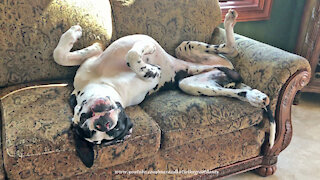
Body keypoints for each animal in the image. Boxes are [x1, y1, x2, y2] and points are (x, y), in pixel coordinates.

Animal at [53, 9, 276, 167]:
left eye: (114, 128)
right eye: (91, 132)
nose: (103, 124)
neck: (104, 81)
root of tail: (229, 73)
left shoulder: (96, 59)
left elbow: (61, 55)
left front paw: (75, 34)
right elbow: (136, 59)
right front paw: (149, 68)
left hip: (185, 47)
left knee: (231, 49)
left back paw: (229, 20)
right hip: (192, 86)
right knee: (235, 85)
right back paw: (256, 97)